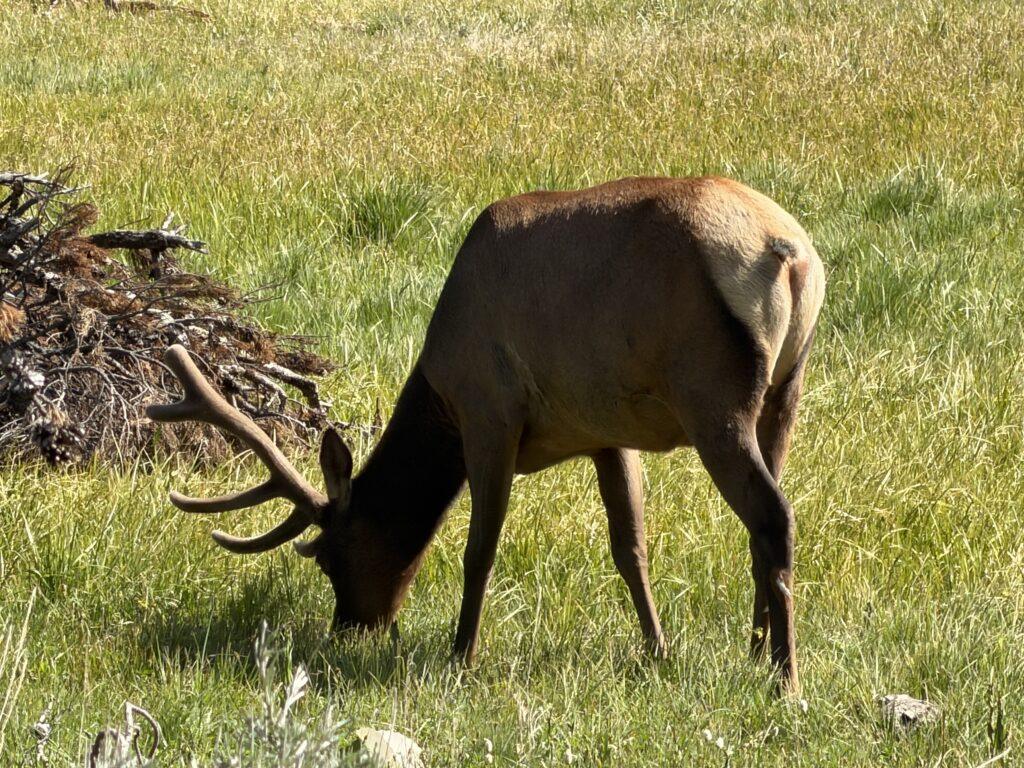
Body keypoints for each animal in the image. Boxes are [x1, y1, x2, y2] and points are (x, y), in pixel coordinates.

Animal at [148, 176, 825, 692]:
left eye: (331, 556)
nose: (351, 628)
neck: (439, 385)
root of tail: (788, 254)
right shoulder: (606, 431)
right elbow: (630, 546)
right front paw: (656, 648)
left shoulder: (489, 413)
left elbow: (480, 548)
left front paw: (460, 655)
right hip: (783, 393)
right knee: (761, 524)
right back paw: (755, 648)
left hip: (711, 396)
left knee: (774, 515)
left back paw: (785, 676)